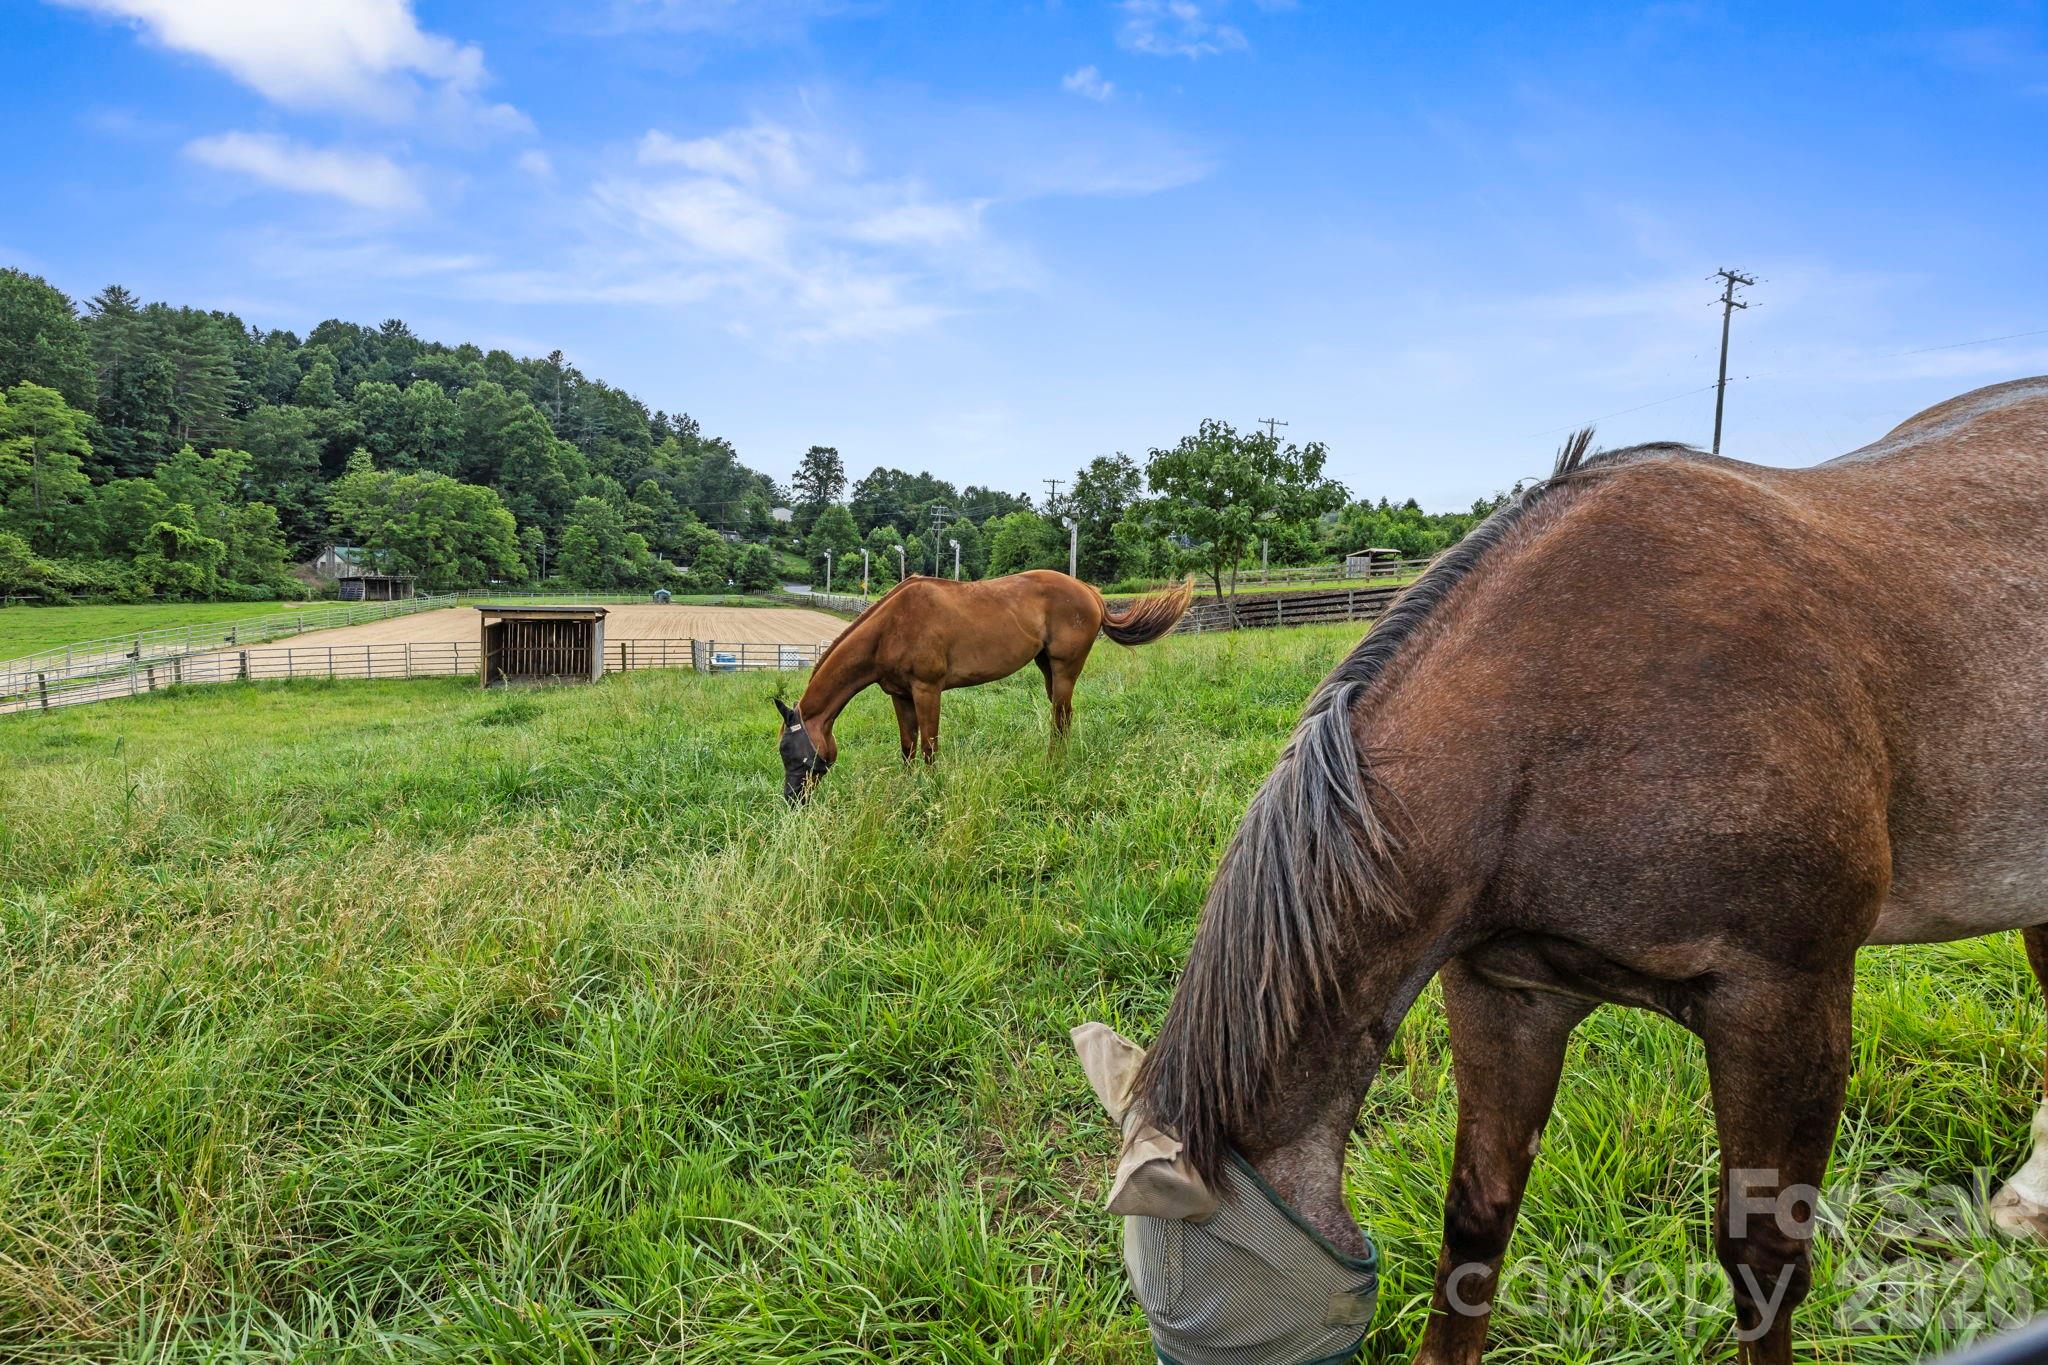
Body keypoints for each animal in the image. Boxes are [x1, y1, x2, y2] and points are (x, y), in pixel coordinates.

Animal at [775, 570, 1193, 802]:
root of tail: (1090, 592)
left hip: (1064, 669)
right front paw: (908, 788)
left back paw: (1053, 768)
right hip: (1047, 668)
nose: (792, 800)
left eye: (790, 752)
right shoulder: (899, 695)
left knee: (1060, 717)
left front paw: (930, 792)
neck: (890, 627)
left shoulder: (927, 690)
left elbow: (929, 747)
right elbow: (908, 747)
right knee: (1063, 716)